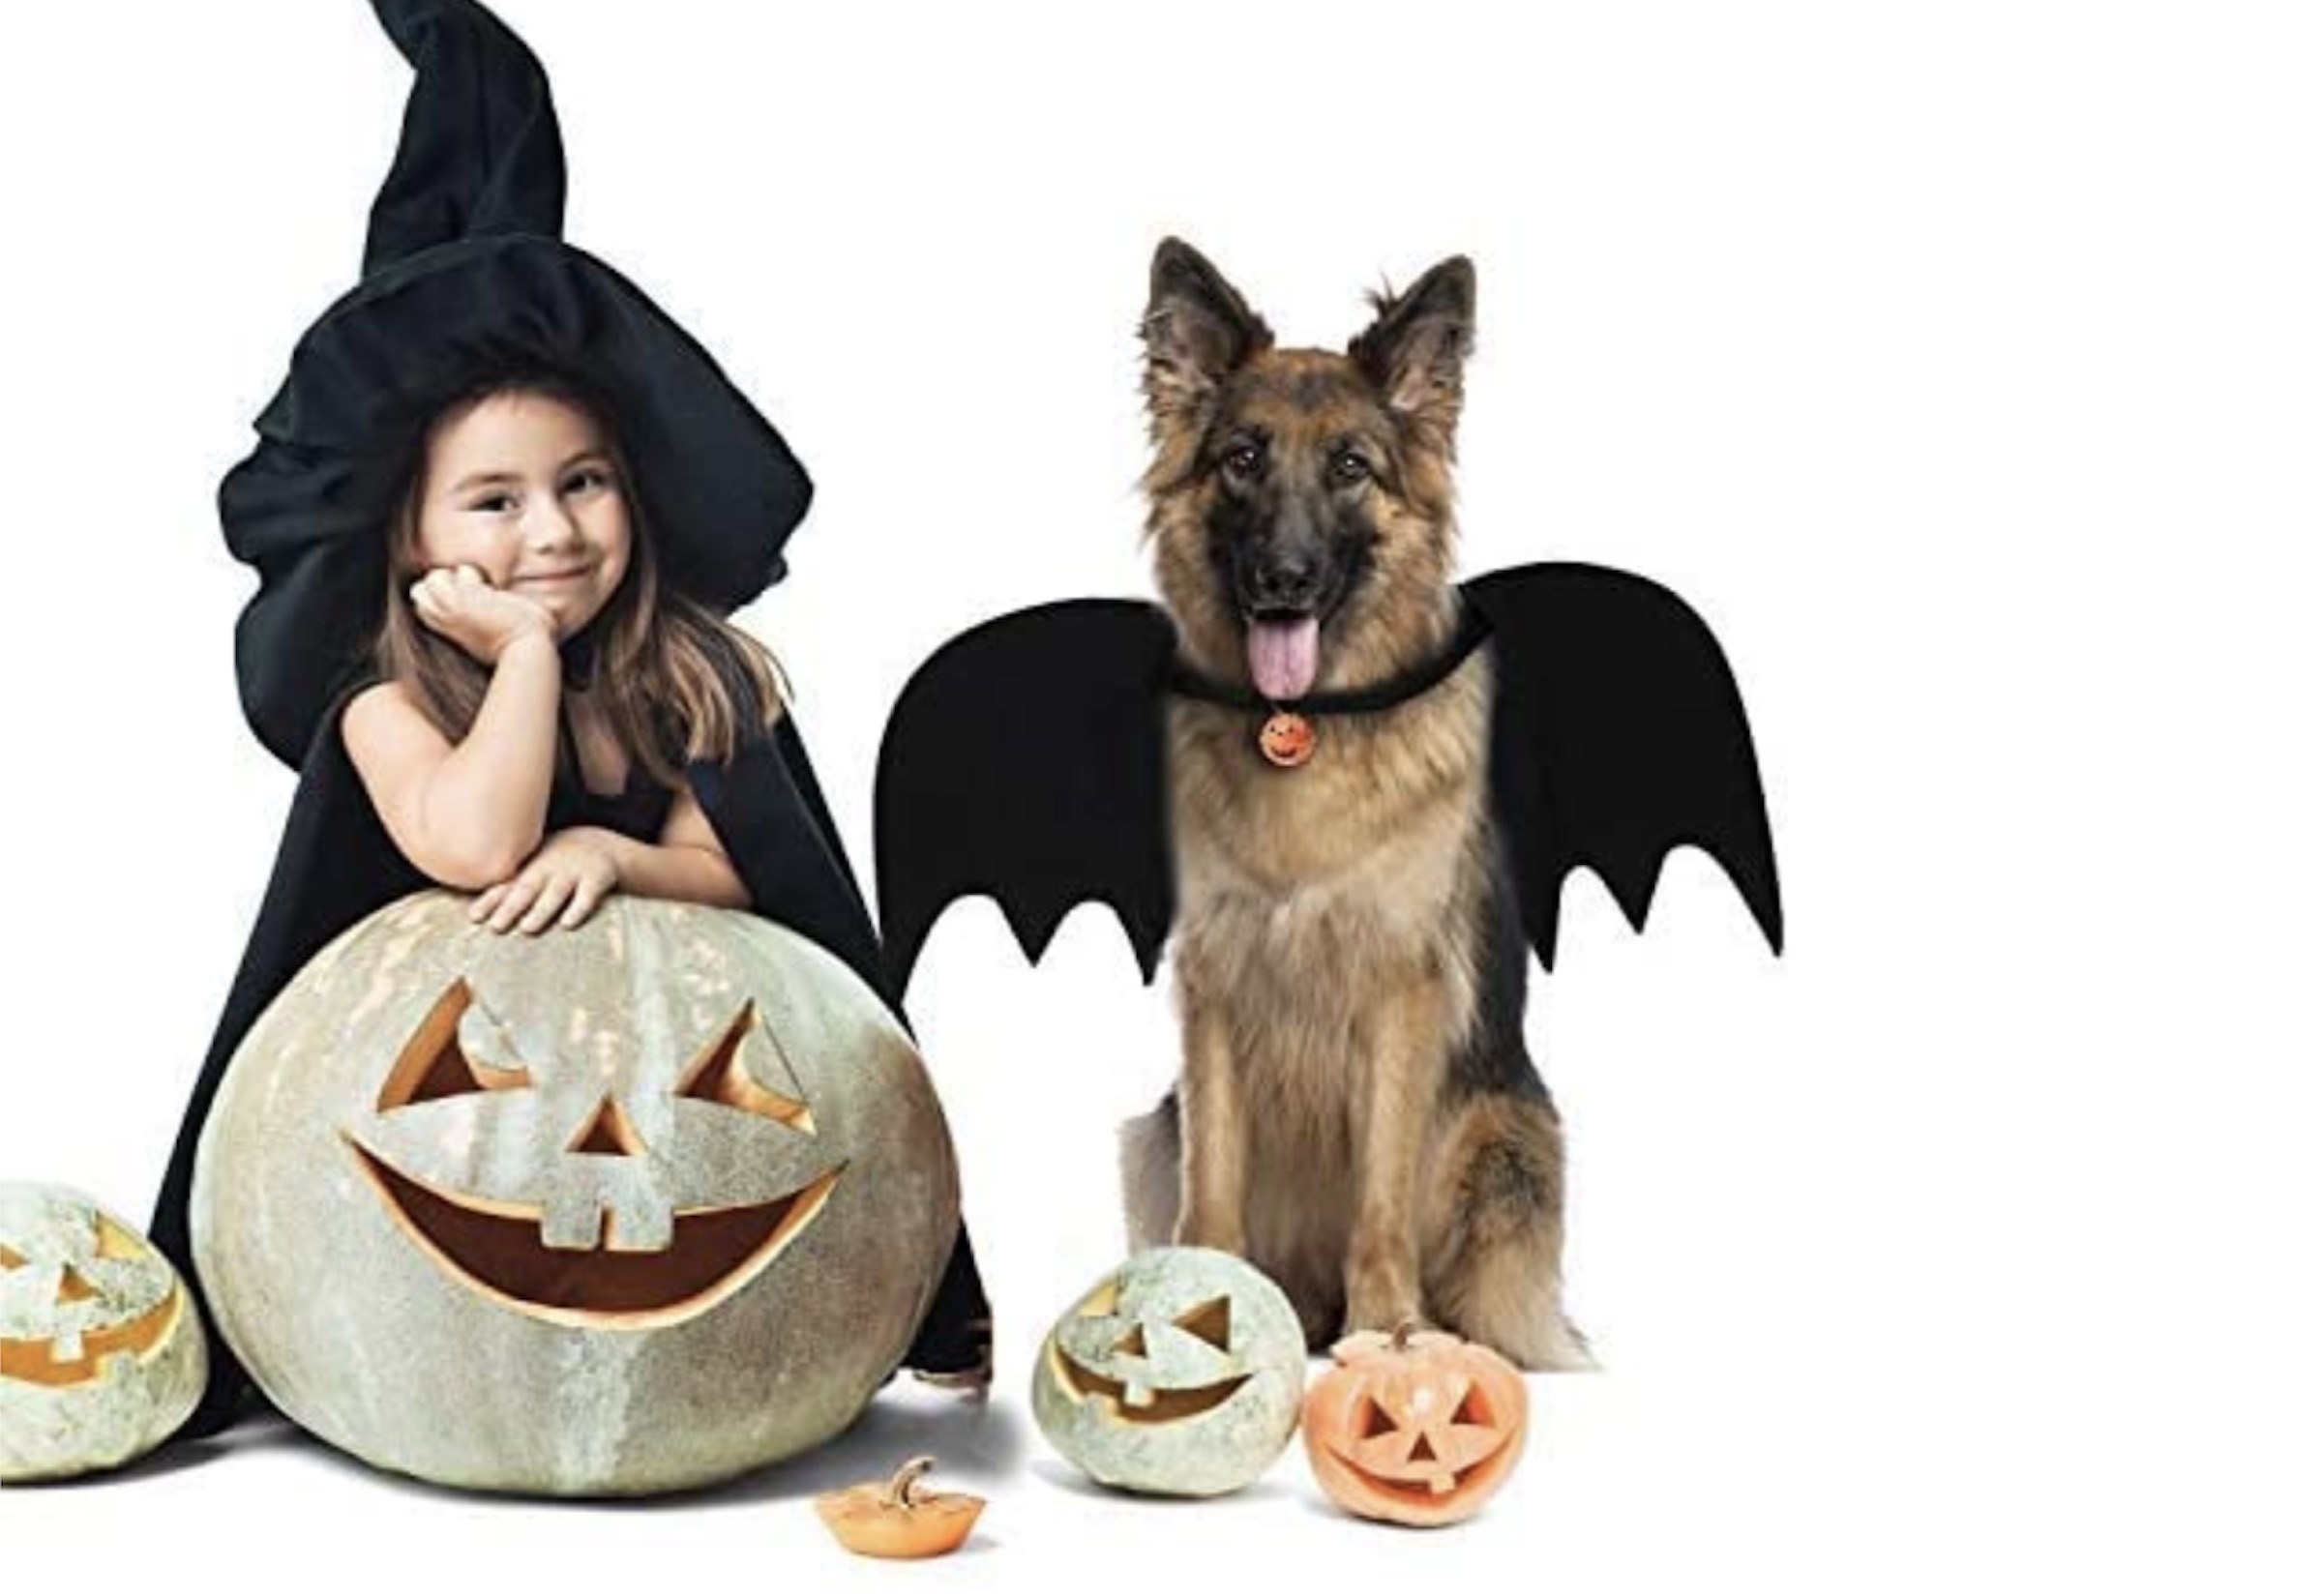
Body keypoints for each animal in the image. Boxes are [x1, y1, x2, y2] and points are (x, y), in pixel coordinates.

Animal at [1118, 240, 1597, 1373]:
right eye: (1242, 458)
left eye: (1350, 468)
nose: (1283, 581)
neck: (1303, 729)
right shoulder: (1215, 978)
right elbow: (1215, 1180)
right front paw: (1211, 1298)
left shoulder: (1398, 988)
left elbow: (1380, 1187)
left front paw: (1389, 1328)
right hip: (1149, 1128)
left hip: (1511, 1141)